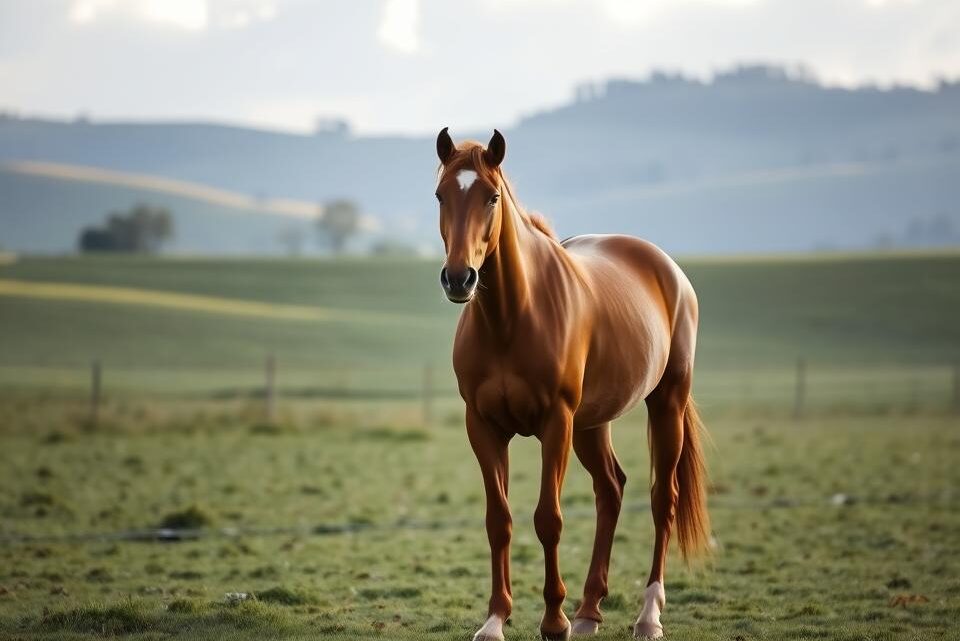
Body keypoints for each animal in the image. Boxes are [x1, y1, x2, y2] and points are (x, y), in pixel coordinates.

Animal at [434, 127, 710, 640]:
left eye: (492, 196)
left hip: (666, 404)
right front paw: (496, 619)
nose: (459, 278)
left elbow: (549, 519)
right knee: (611, 490)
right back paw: (589, 611)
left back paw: (648, 615)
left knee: (662, 500)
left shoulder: (555, 424)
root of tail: (667, 270)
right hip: (591, 425)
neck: (512, 317)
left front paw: (553, 620)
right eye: (441, 194)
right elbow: (498, 520)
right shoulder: (482, 426)